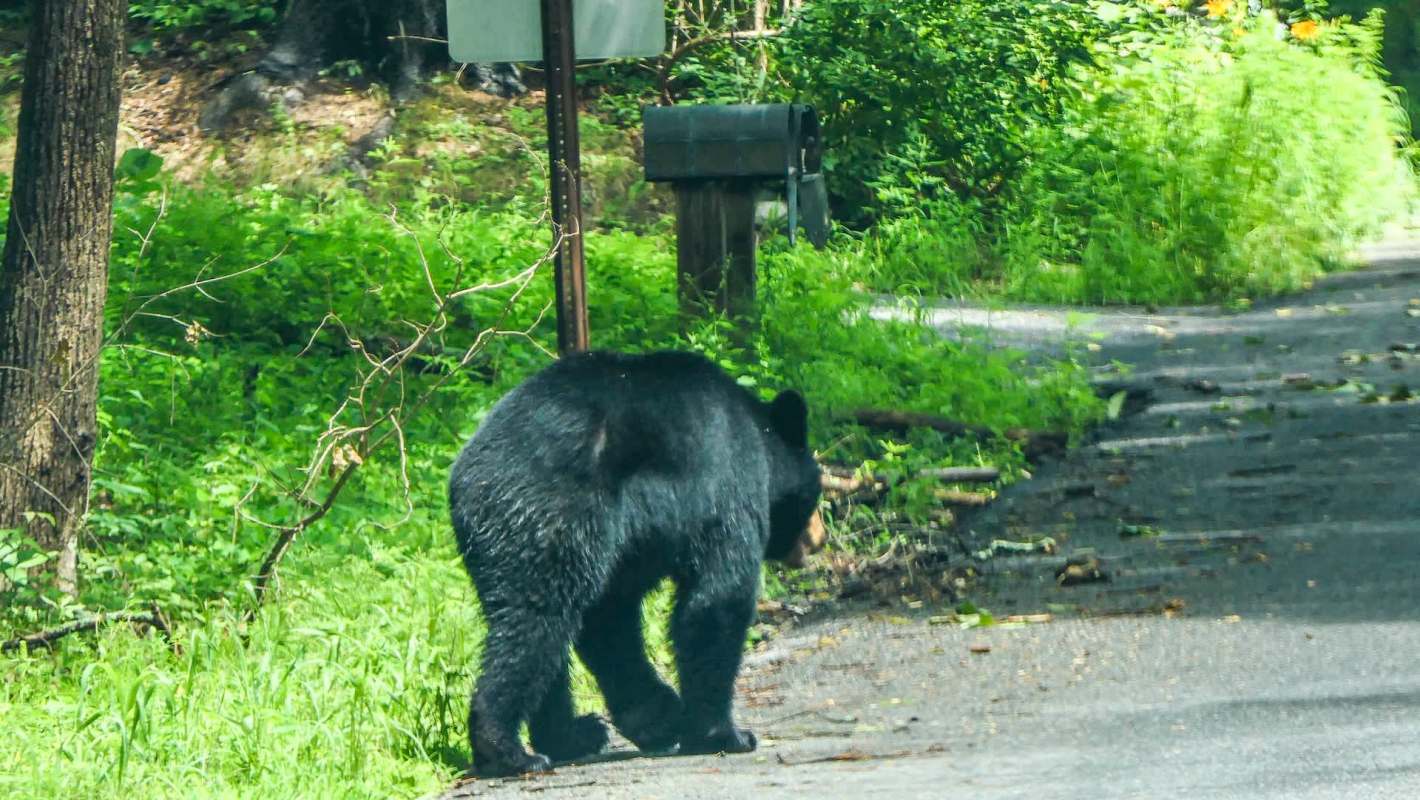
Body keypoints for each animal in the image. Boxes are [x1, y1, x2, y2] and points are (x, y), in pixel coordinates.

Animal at [448, 350, 824, 777]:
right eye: (816, 494)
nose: (818, 539)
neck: (757, 436)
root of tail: (468, 481)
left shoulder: (629, 547)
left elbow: (610, 618)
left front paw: (658, 717)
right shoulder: (725, 485)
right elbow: (718, 599)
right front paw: (723, 733)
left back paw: (571, 736)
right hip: (554, 518)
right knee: (535, 623)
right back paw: (507, 749)